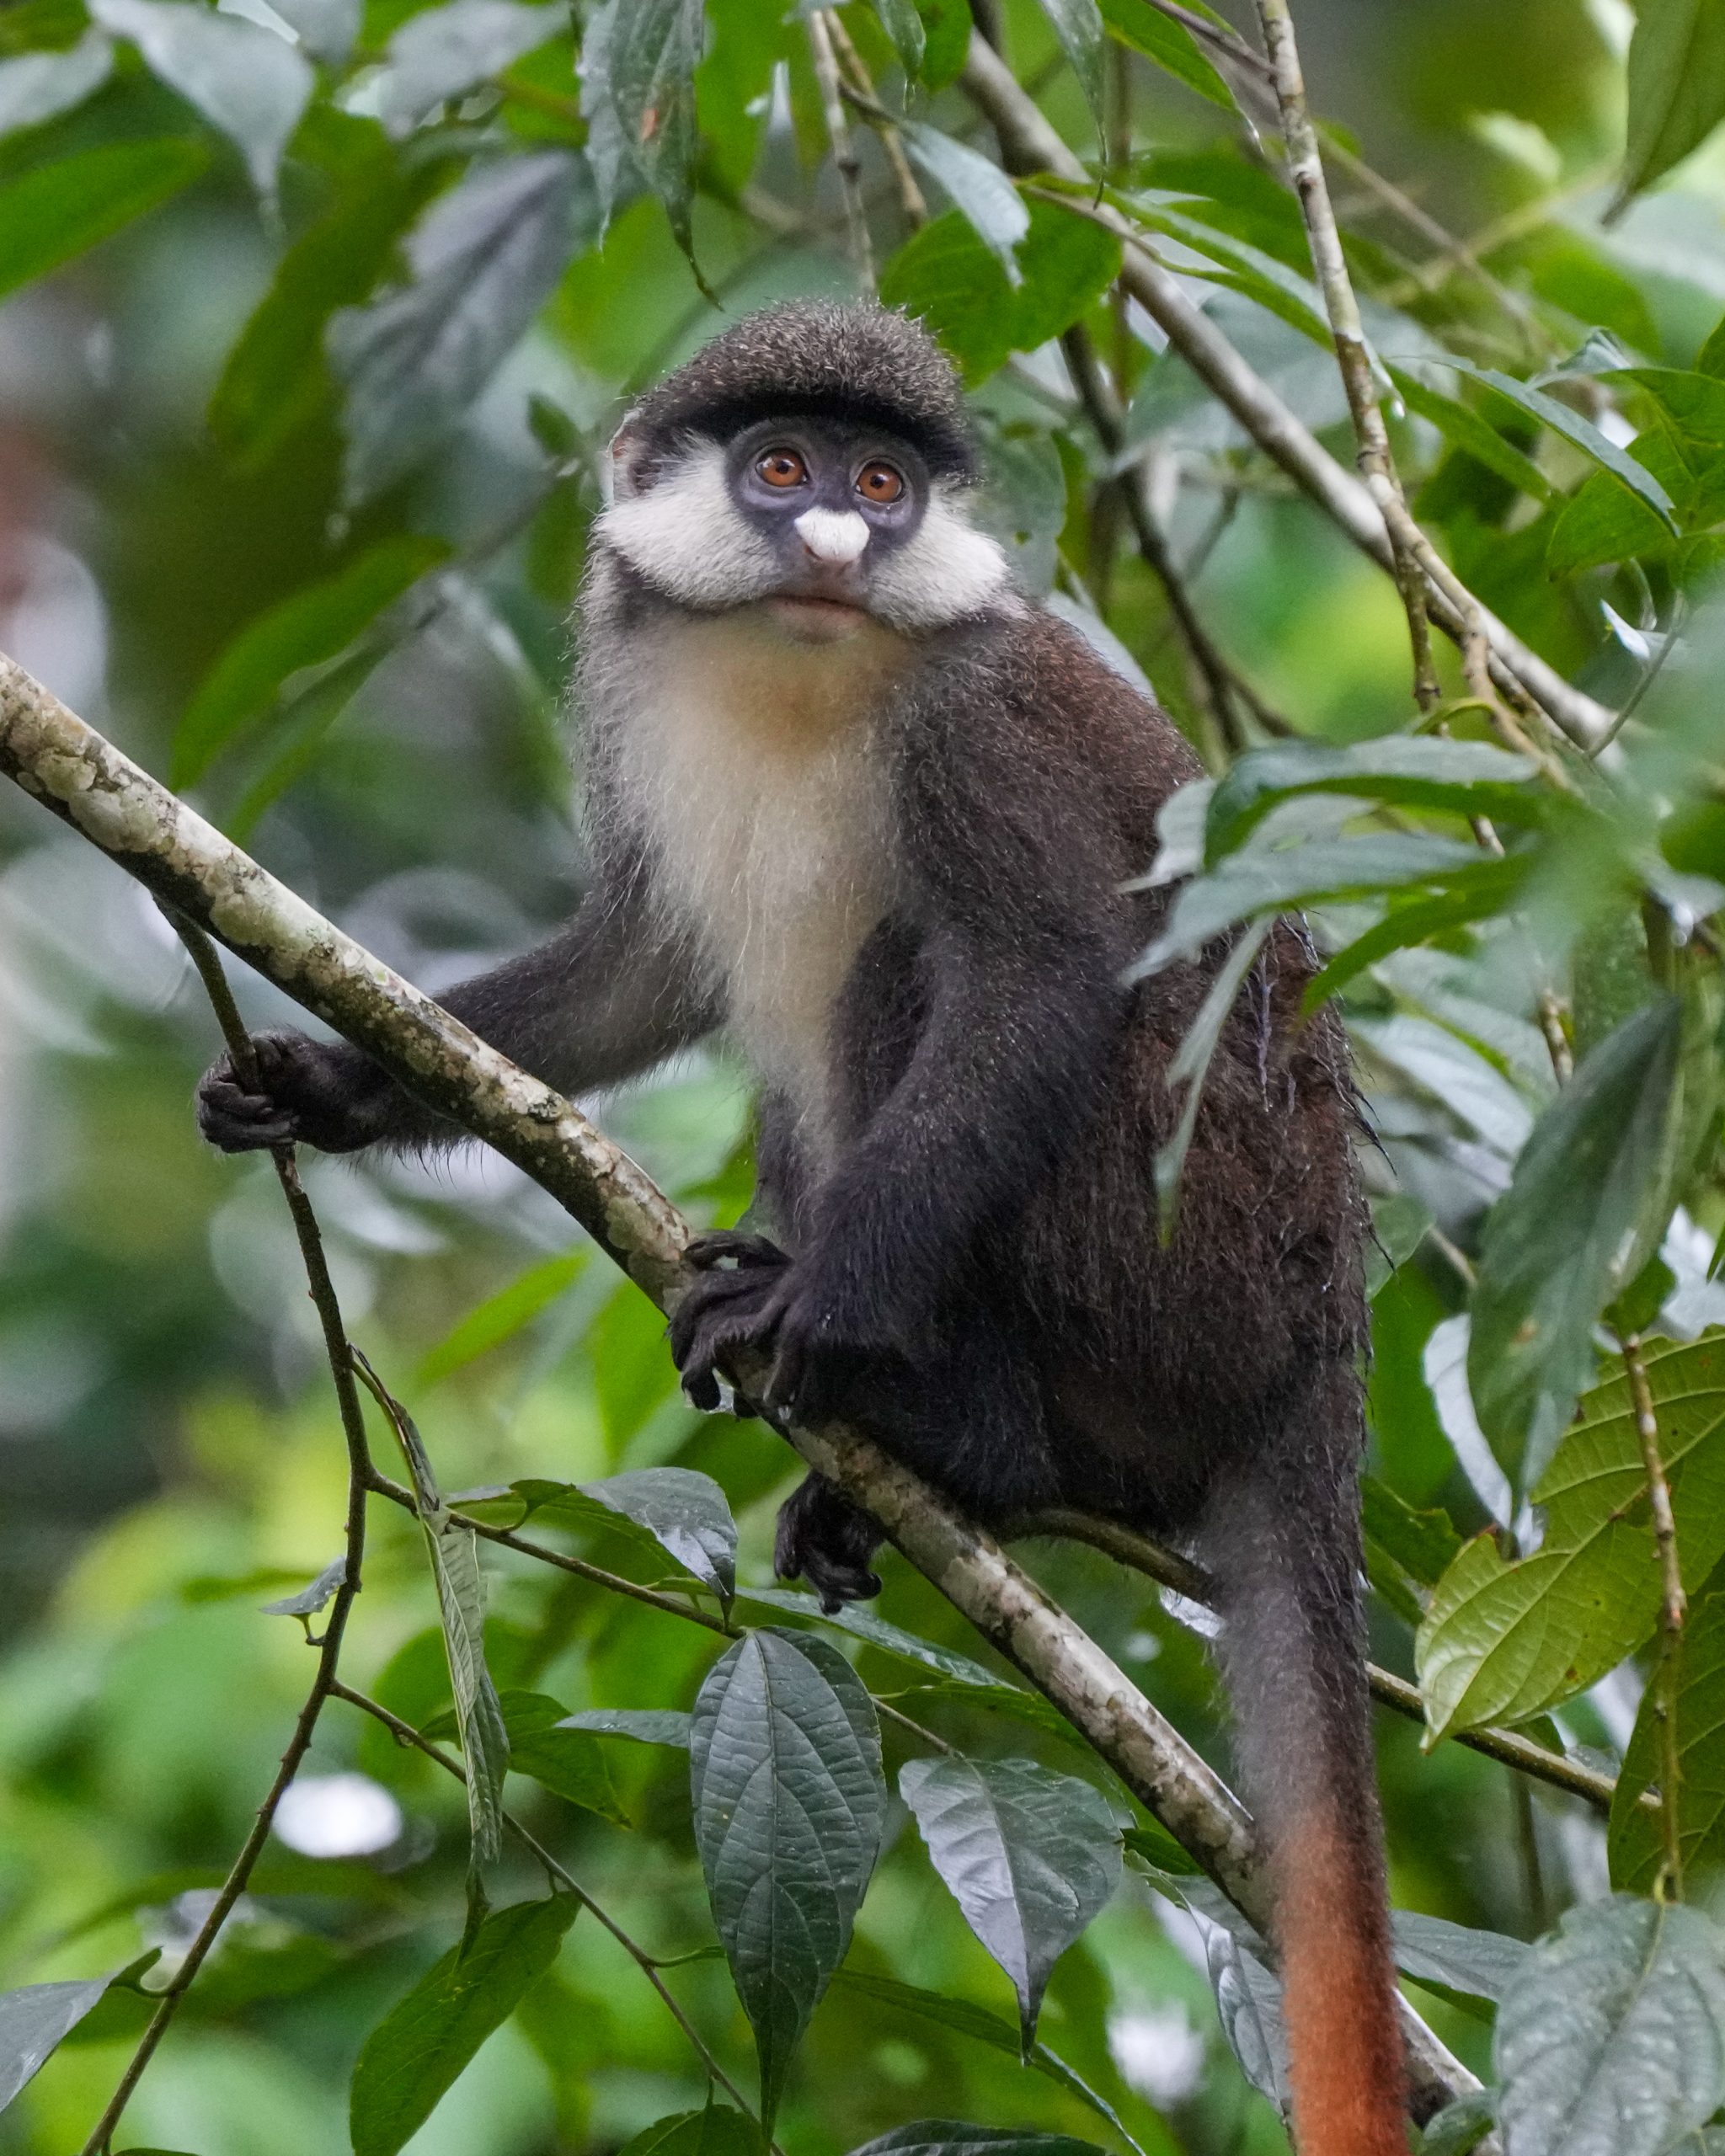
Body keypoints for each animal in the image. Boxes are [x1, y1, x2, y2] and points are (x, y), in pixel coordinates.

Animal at [196, 302, 1403, 2156]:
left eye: (882, 483)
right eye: (781, 468)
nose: (838, 537)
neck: (795, 665)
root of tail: (1316, 1343)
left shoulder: (987, 723)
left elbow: (1038, 972)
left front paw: (822, 1310)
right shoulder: (627, 691)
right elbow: (637, 967)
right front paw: (326, 1085)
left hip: (1179, 1266)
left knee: (916, 967)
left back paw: (944, 1416)